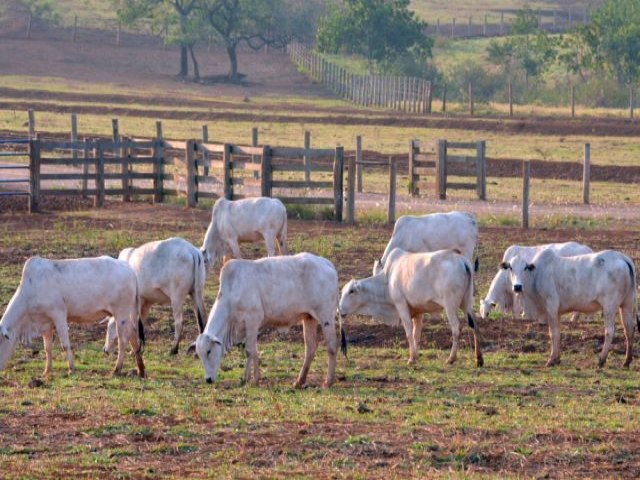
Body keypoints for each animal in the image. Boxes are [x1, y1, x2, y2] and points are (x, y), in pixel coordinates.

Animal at [0, 256, 145, 376]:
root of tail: (130, 271)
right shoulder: (46, 322)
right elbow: (47, 348)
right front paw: (47, 371)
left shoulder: (58, 314)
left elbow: (65, 344)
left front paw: (71, 369)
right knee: (133, 337)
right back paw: (140, 370)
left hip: (121, 314)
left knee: (123, 341)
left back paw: (117, 369)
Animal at [195, 253, 344, 388]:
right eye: (199, 355)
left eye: (208, 351)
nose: (208, 379)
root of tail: (326, 263)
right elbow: (250, 351)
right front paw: (247, 379)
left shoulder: (253, 321)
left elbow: (250, 350)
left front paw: (253, 380)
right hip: (309, 318)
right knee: (311, 347)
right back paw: (299, 381)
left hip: (326, 316)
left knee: (331, 345)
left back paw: (328, 381)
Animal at [340, 248, 480, 368]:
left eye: (351, 291)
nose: (339, 309)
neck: (387, 278)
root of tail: (461, 260)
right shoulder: (418, 312)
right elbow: (416, 333)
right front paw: (416, 355)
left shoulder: (401, 305)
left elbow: (408, 332)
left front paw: (412, 358)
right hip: (467, 302)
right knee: (474, 325)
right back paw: (478, 359)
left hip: (450, 305)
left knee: (456, 328)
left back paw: (451, 358)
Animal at [504, 248, 636, 368]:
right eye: (510, 268)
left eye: (525, 268)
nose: (517, 287)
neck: (536, 274)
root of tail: (621, 257)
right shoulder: (557, 312)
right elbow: (557, 332)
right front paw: (557, 358)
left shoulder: (551, 306)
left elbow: (553, 333)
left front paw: (551, 360)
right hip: (627, 304)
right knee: (629, 329)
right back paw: (626, 361)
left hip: (610, 306)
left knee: (609, 331)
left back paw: (601, 359)